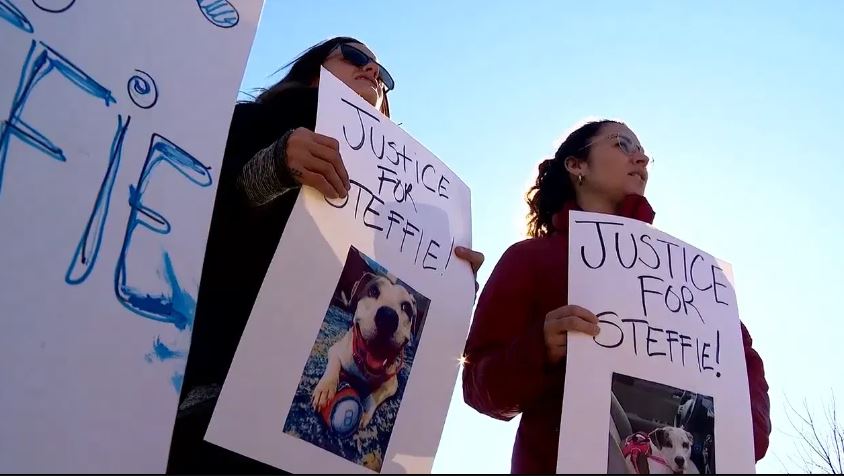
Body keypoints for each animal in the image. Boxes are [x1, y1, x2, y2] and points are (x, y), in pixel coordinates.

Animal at [310, 270, 418, 430]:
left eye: (406, 307)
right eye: (373, 291)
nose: (388, 316)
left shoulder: (392, 384)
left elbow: (377, 393)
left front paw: (366, 409)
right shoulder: (336, 350)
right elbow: (334, 366)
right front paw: (326, 388)